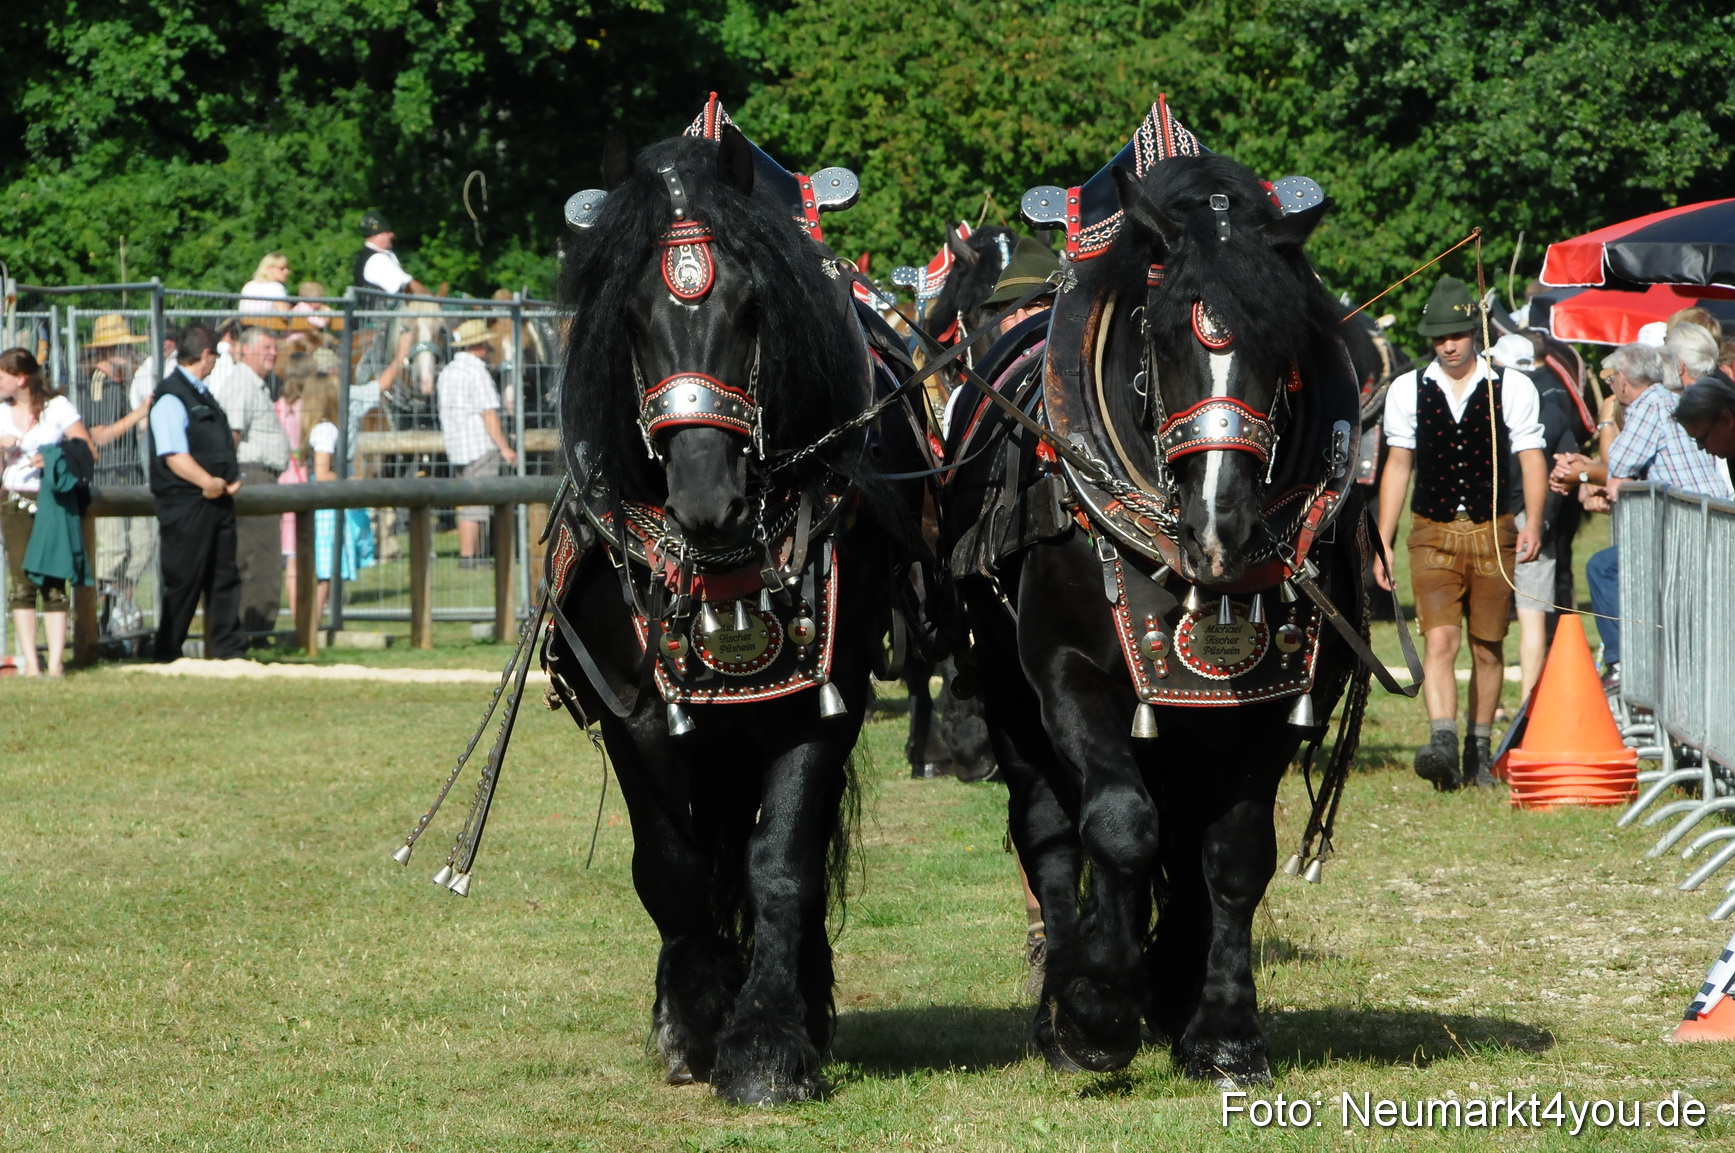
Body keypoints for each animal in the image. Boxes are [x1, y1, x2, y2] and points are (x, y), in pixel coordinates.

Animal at [537, 111, 927, 1105]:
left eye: (752, 308)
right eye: (630, 316)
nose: (706, 495)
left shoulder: (818, 698)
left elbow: (780, 862)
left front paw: (767, 1042)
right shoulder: (638, 711)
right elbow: (672, 869)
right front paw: (693, 1023)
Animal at [942, 119, 1380, 1085]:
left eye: (1282, 345)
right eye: (1164, 336)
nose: (1223, 521)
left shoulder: (1276, 699)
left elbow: (1233, 853)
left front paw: (1222, 1029)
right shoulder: (1067, 673)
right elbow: (1117, 823)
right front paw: (1097, 1009)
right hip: (1006, 695)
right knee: (1051, 831)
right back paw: (1065, 1000)